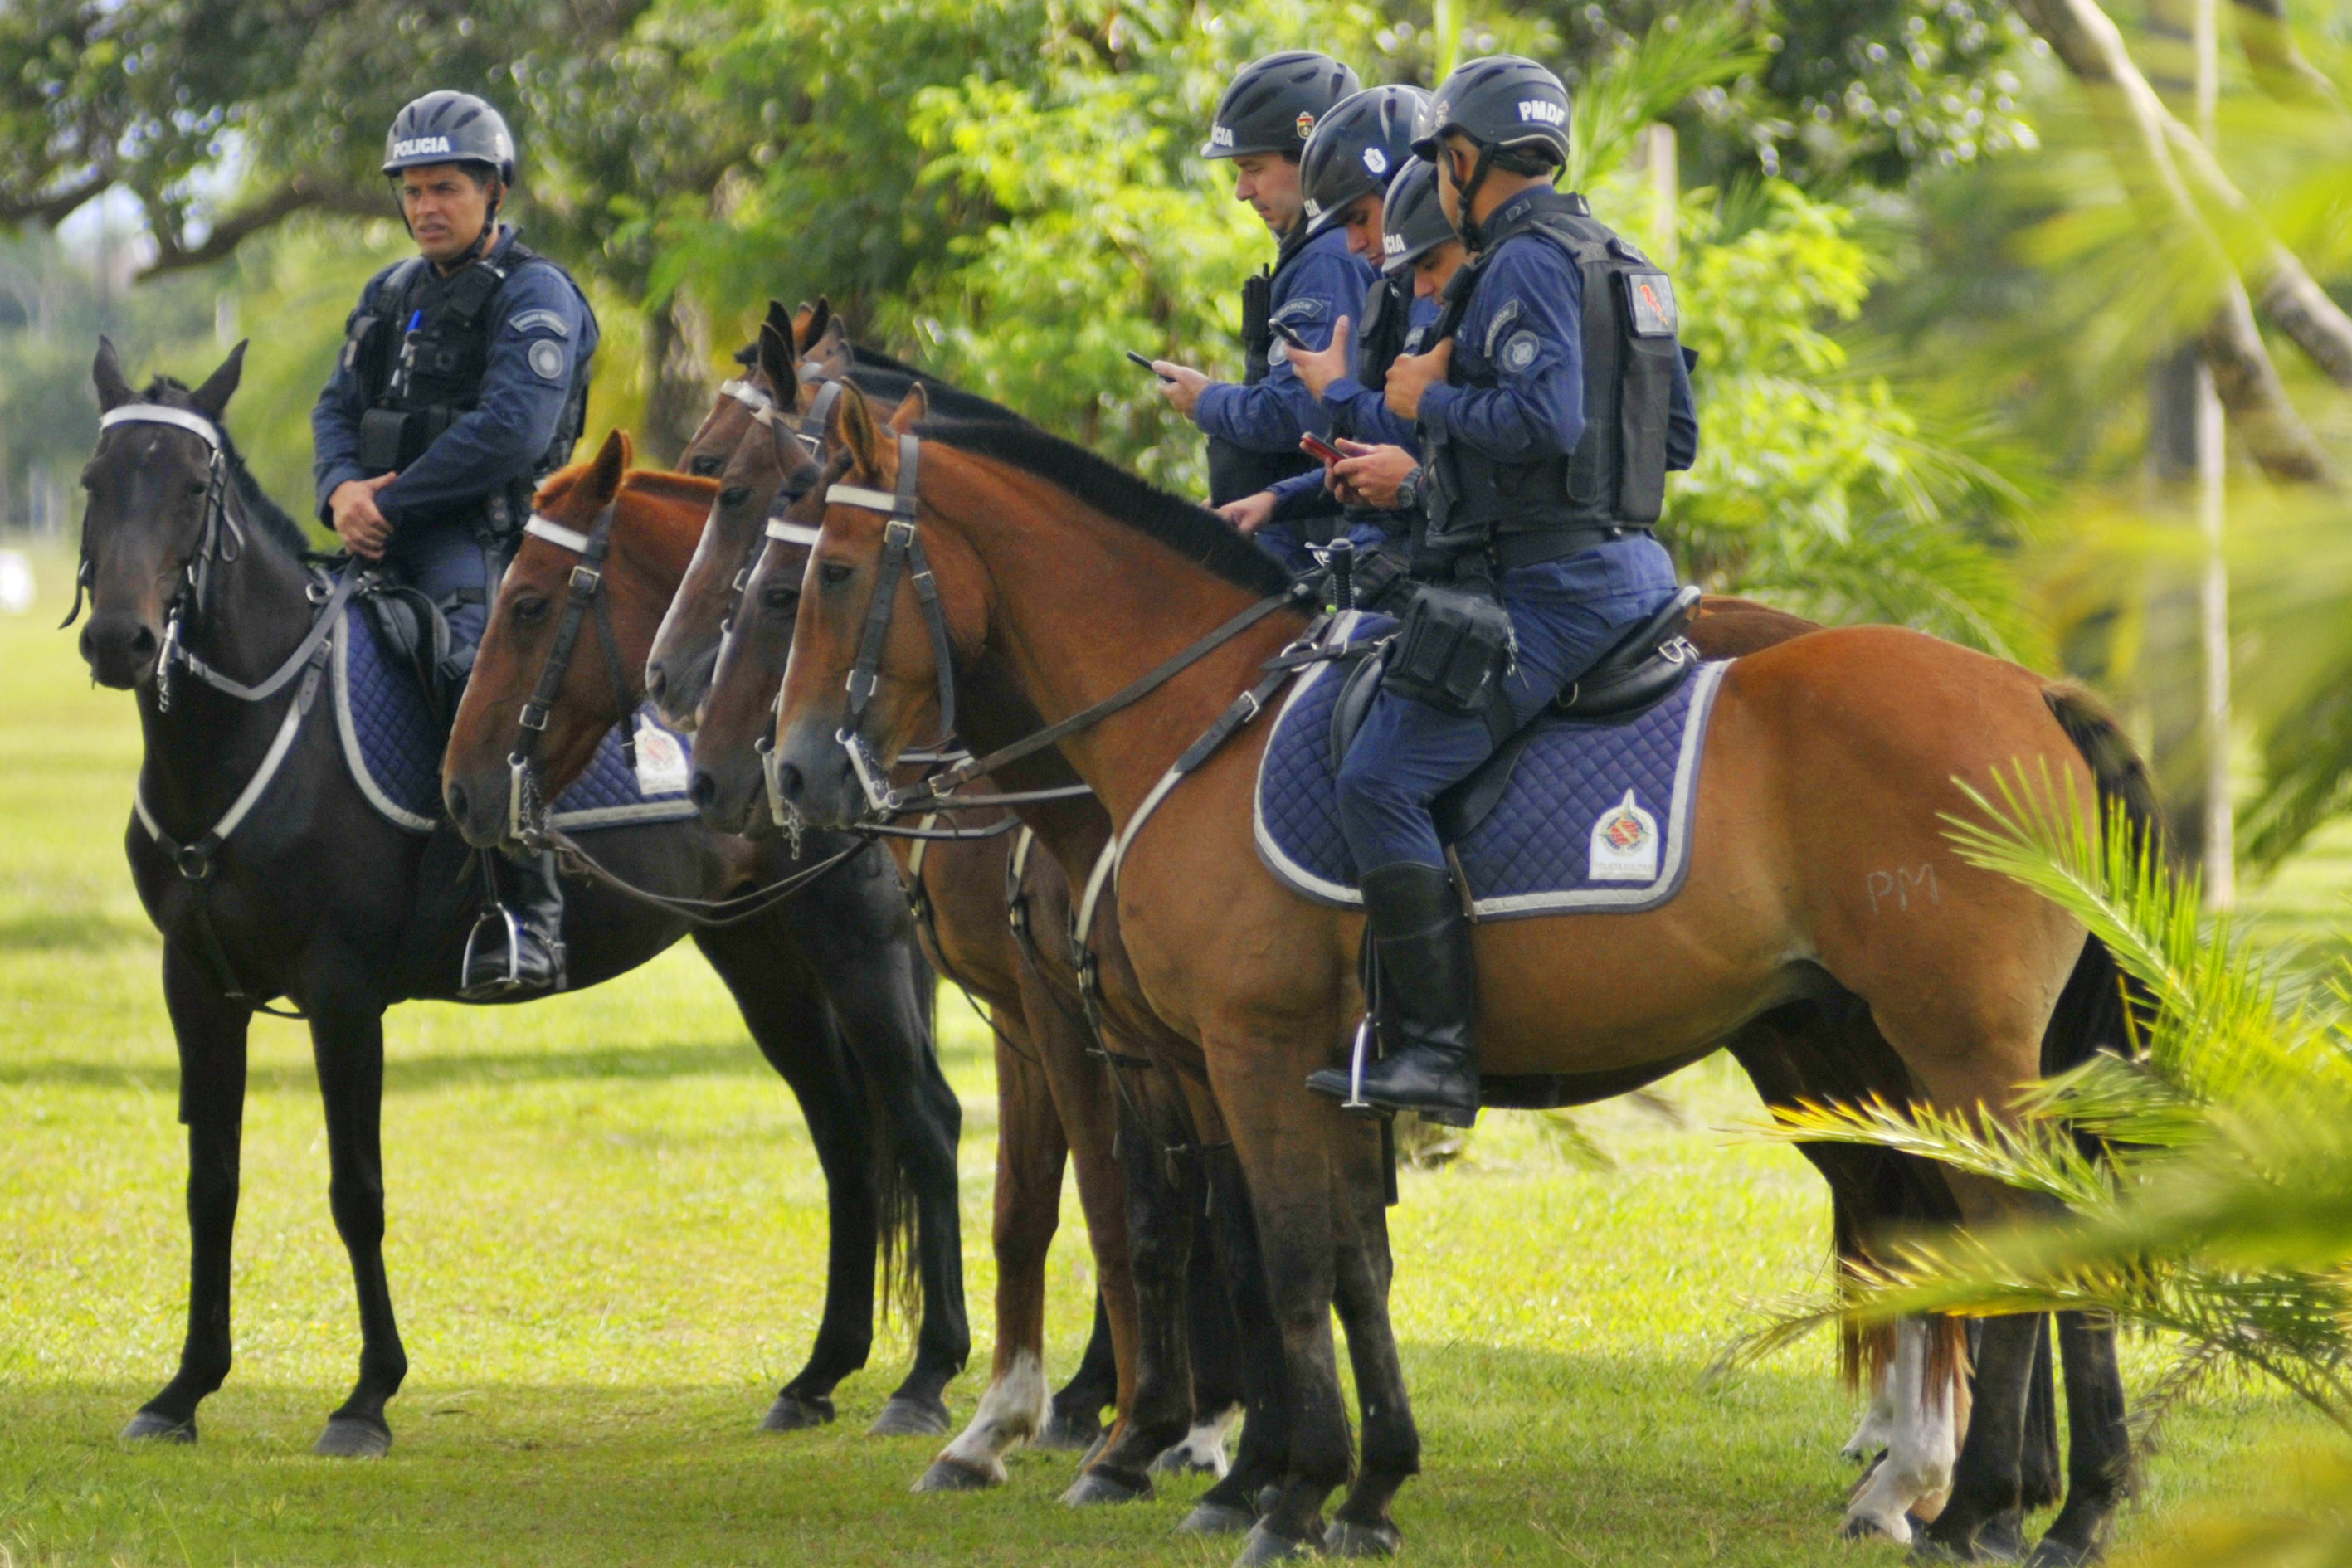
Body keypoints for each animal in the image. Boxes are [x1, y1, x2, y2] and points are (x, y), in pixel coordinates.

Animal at [75, 343, 964, 1457]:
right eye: (94, 482)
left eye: (194, 490)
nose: (120, 639)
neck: (257, 731)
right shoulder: (196, 989)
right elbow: (212, 1187)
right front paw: (184, 1388)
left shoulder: (341, 995)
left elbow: (356, 1191)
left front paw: (367, 1396)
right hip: (762, 958)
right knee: (846, 1139)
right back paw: (818, 1376)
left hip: (857, 943)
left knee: (924, 1121)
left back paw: (926, 1377)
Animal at [762, 382, 2145, 1568]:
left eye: (824, 574)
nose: (788, 775)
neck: (1199, 718)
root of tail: (2030, 689)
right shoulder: (1303, 1070)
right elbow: (1347, 1264)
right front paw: (1361, 1488)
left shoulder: (1244, 1054)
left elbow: (1282, 1262)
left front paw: (1279, 1493)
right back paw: (2058, 1504)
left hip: (1945, 1049)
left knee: (2013, 1235)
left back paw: (1971, 1504)